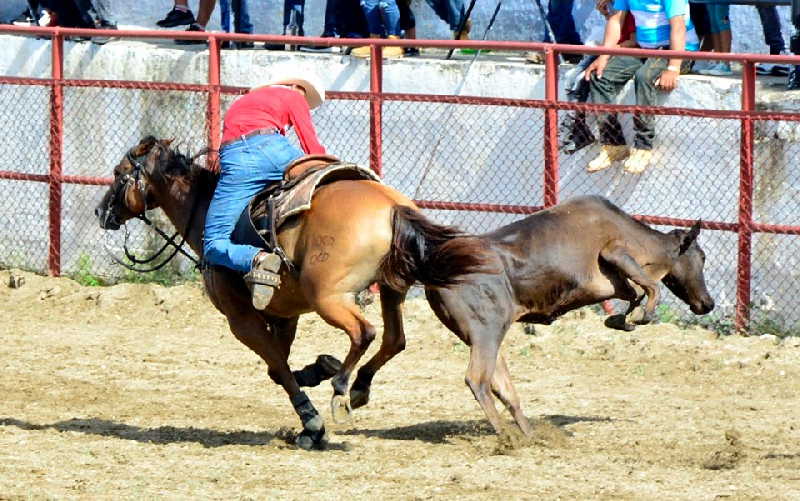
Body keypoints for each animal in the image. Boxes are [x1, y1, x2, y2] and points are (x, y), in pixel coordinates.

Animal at [94, 135, 488, 448]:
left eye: (117, 172)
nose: (100, 211)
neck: (204, 211)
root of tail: (392, 207)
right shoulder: (284, 315)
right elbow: (277, 367)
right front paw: (318, 370)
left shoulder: (241, 320)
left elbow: (278, 369)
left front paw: (312, 424)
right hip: (391, 288)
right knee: (394, 339)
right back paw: (358, 386)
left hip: (328, 297)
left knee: (365, 332)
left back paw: (341, 392)